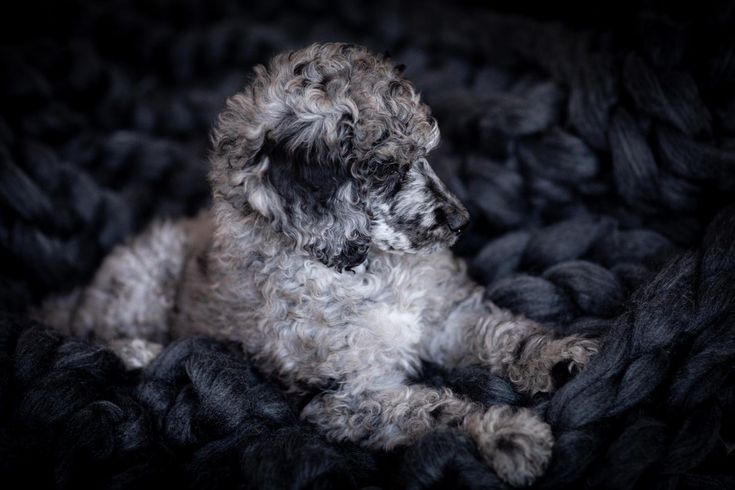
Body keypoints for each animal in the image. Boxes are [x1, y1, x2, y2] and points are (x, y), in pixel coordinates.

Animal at [38, 43, 600, 486]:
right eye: (385, 169)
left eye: (426, 154)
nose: (461, 221)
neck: (364, 271)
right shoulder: (344, 398)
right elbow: (437, 411)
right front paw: (507, 432)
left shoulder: (446, 316)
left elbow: (500, 332)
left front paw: (560, 355)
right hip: (142, 277)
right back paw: (137, 350)